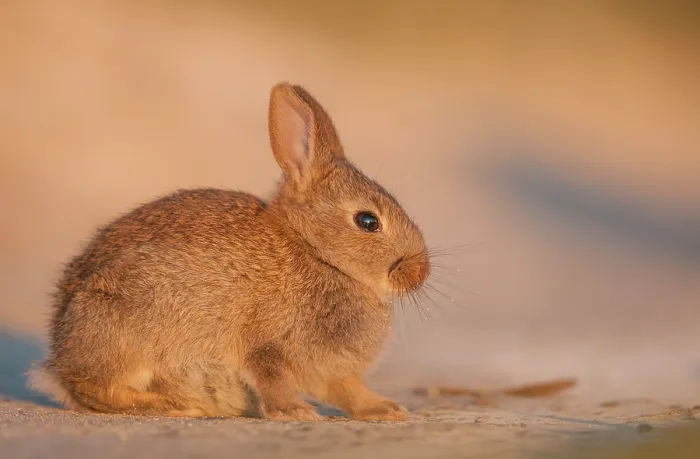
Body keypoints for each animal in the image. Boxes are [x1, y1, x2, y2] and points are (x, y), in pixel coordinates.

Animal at [28, 82, 431, 422]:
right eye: (367, 221)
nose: (419, 273)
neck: (315, 252)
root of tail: (59, 358)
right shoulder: (268, 344)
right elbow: (273, 379)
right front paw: (295, 413)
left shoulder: (330, 369)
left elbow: (349, 390)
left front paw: (386, 410)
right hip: (124, 327)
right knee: (98, 389)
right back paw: (176, 406)